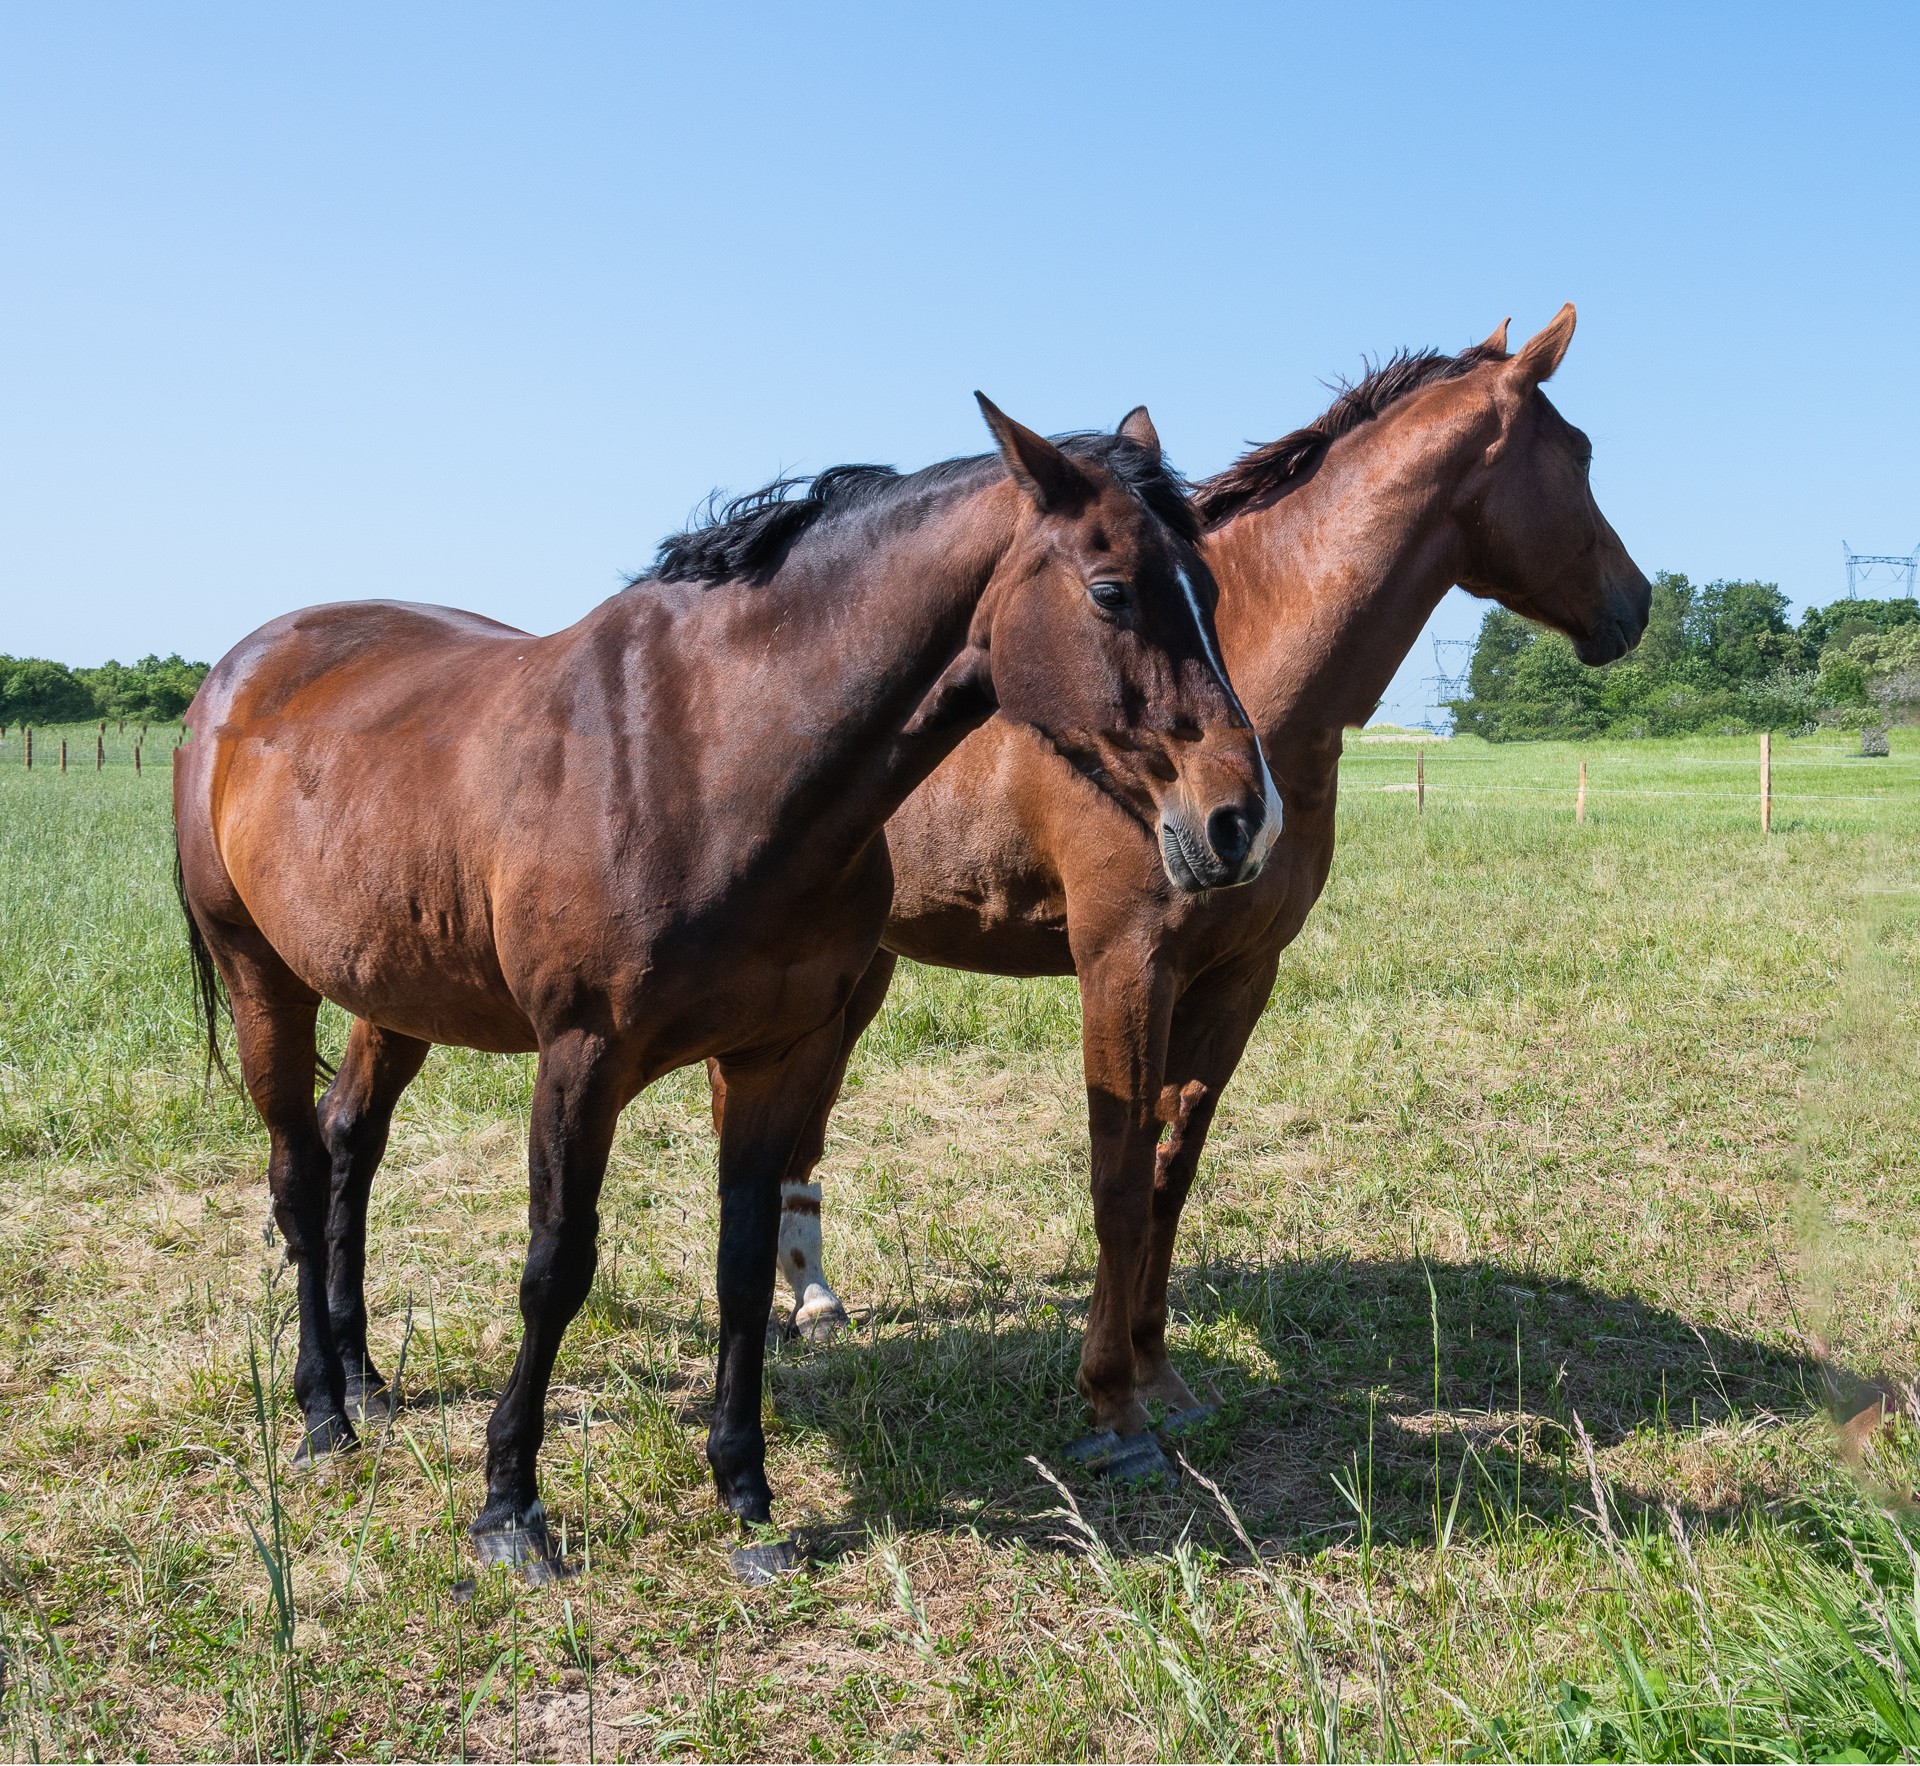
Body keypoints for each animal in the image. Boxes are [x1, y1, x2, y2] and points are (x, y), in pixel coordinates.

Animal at [176, 397, 1274, 1574]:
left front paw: (744, 1484)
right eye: (1111, 590)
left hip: (393, 993)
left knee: (351, 1146)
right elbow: (555, 1267)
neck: (708, 759)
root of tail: (240, 671)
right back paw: (320, 1411)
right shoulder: (582, 1058)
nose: (1240, 821)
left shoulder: (773, 1056)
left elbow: (745, 1262)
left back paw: (367, 1380)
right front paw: (509, 1505)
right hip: (261, 978)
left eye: (1210, 594)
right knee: (297, 1172)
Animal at [725, 307, 1658, 1474]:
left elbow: (1174, 1171)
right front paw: (1110, 1403)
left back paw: (809, 1298)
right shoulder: (1126, 964)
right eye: (1579, 454)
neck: (1259, 688)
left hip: (866, 968)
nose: (1638, 604)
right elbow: (1117, 1178)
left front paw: (1161, 1373)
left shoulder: (1241, 974)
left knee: (799, 1117)